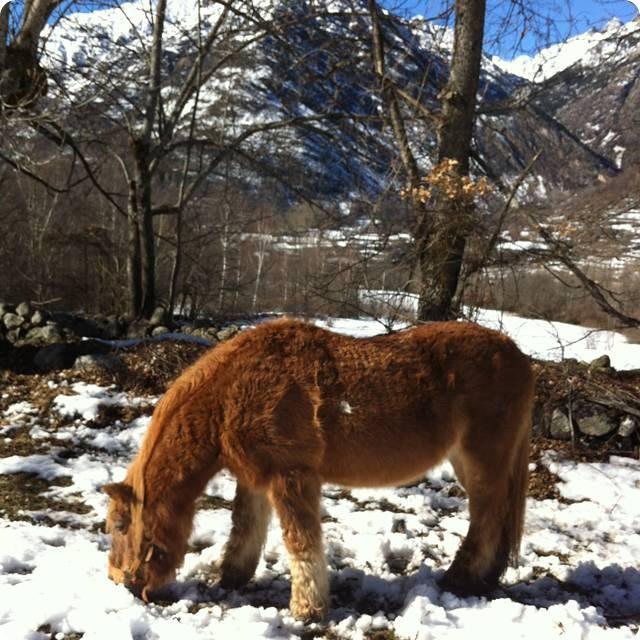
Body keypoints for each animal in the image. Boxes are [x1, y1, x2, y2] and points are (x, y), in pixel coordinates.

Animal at [103, 318, 534, 621]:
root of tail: (518, 356)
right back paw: (485, 580)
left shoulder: (292, 476)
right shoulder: (256, 478)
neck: (232, 391)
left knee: (486, 520)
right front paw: (231, 578)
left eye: (121, 526)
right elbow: (245, 528)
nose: (118, 580)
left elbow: (301, 542)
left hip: (481, 462)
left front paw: (307, 610)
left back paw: (461, 579)